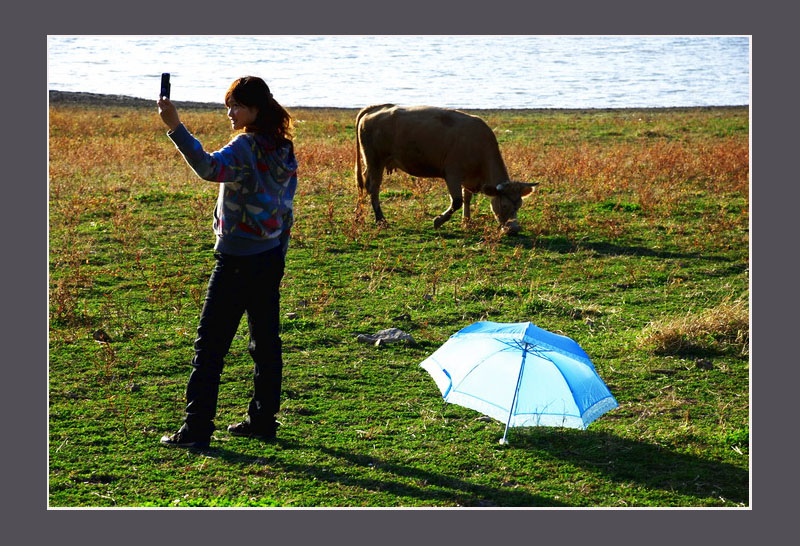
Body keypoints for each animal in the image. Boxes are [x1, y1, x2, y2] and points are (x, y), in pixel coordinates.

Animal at [354, 104, 536, 234]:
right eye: (504, 205)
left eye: (519, 205)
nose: (514, 229)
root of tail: (376, 108)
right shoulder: (452, 174)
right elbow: (457, 201)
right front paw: (438, 221)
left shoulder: (468, 178)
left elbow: (467, 198)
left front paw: (466, 222)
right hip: (375, 161)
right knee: (373, 188)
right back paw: (380, 220)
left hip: (370, 163)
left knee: (363, 185)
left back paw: (359, 216)